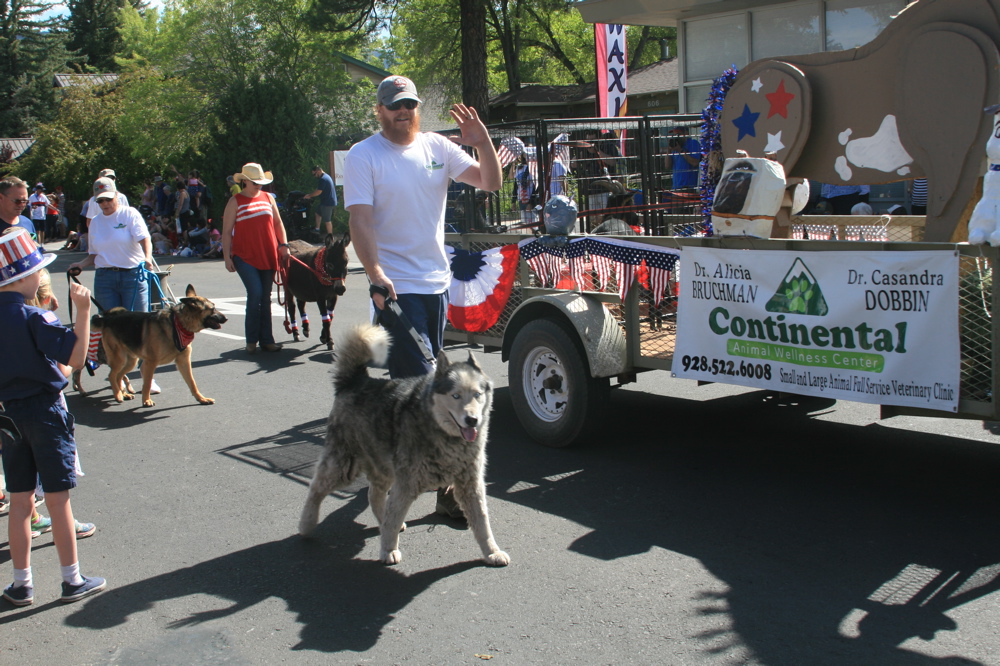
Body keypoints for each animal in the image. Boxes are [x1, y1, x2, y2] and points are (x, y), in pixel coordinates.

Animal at [90, 284, 229, 408]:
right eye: (212, 309)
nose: (226, 318)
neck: (177, 325)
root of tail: (107, 317)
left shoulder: (184, 362)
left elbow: (192, 383)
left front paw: (201, 399)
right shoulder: (150, 363)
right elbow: (146, 383)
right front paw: (146, 401)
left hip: (130, 362)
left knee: (119, 376)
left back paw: (123, 394)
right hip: (120, 359)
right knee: (112, 376)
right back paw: (118, 395)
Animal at [298, 322, 512, 564]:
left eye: (477, 394)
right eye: (455, 396)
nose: (472, 420)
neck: (443, 434)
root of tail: (355, 380)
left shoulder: (470, 484)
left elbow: (482, 524)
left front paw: (492, 552)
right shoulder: (406, 484)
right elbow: (394, 517)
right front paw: (388, 549)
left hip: (384, 467)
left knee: (374, 494)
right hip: (344, 466)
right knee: (317, 488)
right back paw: (306, 524)